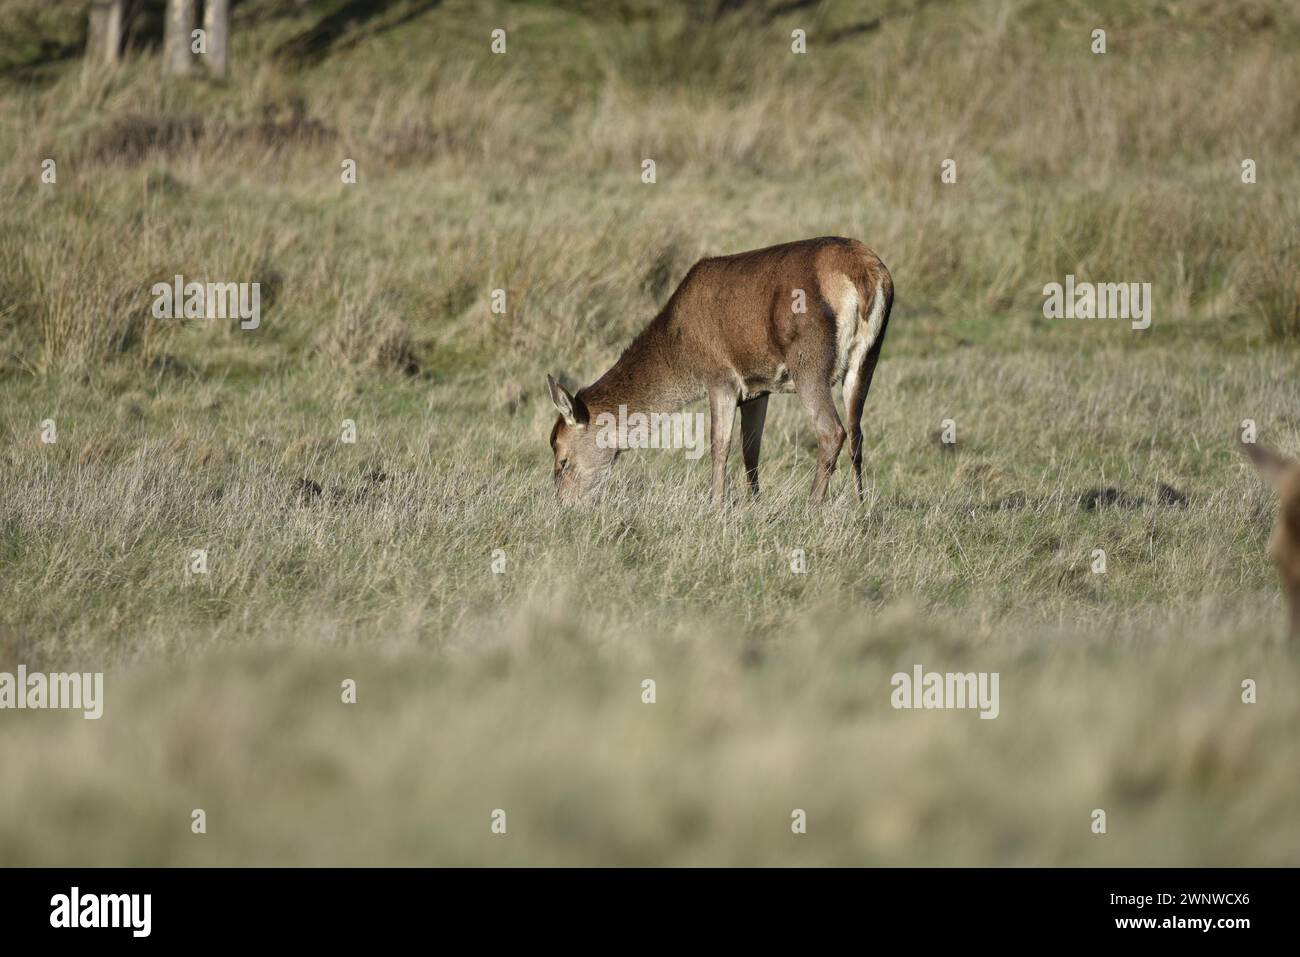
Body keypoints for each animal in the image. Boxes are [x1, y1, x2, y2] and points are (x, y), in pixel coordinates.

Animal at [547, 236, 894, 505]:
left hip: (809, 362)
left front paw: (716, 505)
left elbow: (719, 444)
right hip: (869, 357)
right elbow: (751, 446)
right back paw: (860, 505)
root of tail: (868, 277)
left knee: (832, 430)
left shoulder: (720, 377)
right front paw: (754, 502)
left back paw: (813, 506)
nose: (563, 503)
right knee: (857, 433)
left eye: (562, 460)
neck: (679, 347)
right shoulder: (759, 386)